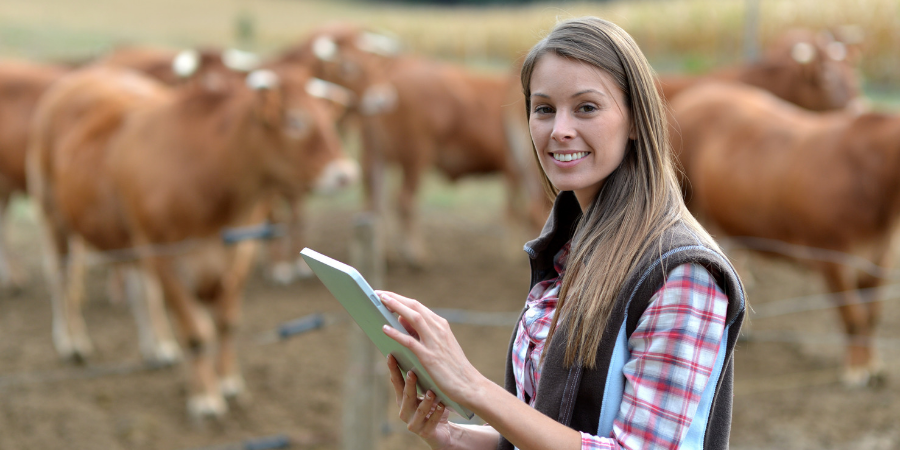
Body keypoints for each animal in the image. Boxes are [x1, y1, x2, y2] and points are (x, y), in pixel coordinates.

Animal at [29, 64, 358, 418]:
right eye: (296, 121)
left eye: (327, 119)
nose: (345, 173)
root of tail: (91, 73)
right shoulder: (165, 258)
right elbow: (196, 333)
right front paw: (204, 399)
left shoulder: (242, 252)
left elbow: (226, 323)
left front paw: (229, 382)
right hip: (53, 214)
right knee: (61, 278)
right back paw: (71, 342)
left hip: (123, 235)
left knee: (138, 290)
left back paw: (156, 348)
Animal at [280, 23, 548, 268]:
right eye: (347, 67)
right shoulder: (513, 167)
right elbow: (514, 209)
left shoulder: (511, 169)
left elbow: (511, 208)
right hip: (416, 155)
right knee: (404, 201)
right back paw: (416, 255)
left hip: (376, 156)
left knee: (376, 203)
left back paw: (385, 254)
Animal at [668, 82, 892, 388]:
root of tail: (703, 91)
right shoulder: (832, 256)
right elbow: (854, 316)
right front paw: (856, 370)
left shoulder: (879, 256)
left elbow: (873, 315)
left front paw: (874, 365)